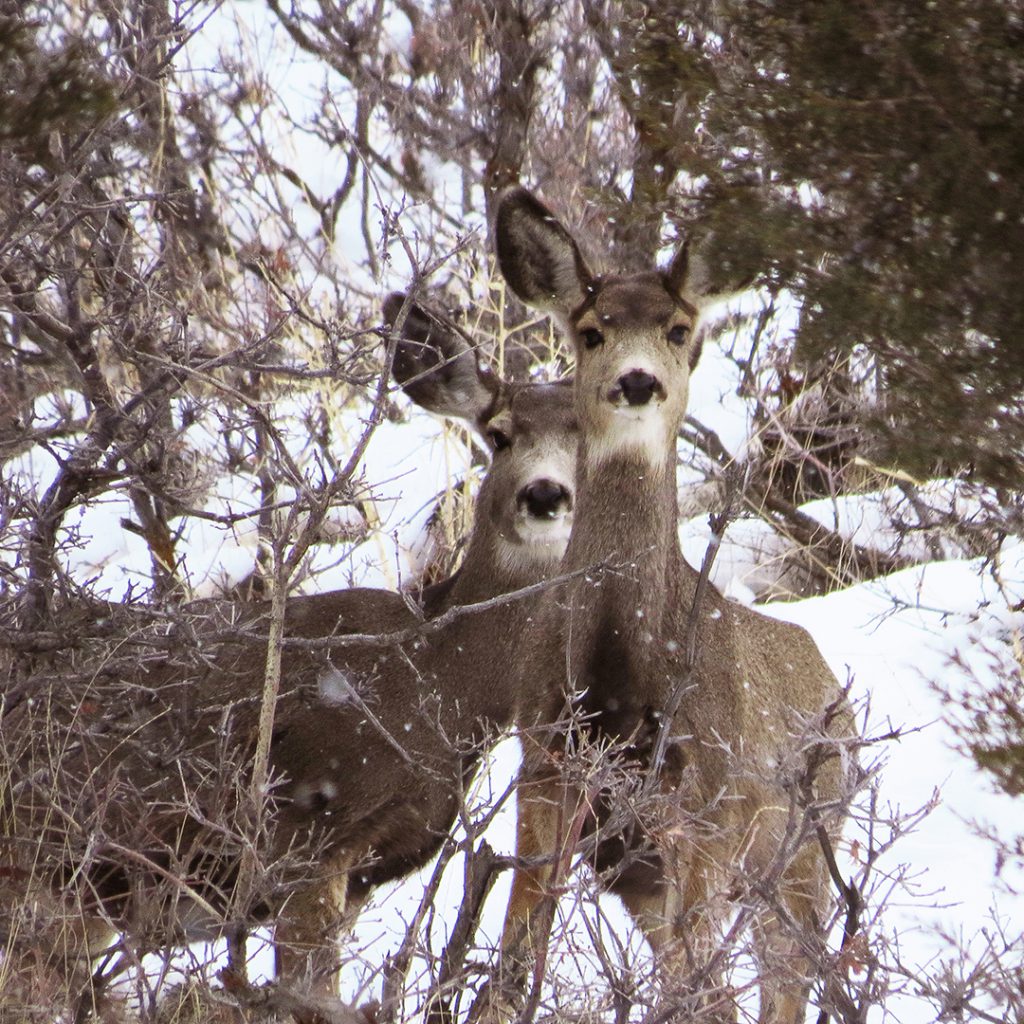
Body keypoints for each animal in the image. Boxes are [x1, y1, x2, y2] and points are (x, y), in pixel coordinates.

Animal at [481, 188, 854, 1024]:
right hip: (639, 869)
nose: (637, 380)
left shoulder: (706, 799)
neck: (620, 665)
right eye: (591, 330)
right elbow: (514, 960)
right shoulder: (546, 765)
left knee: (778, 979)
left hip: (803, 848)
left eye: (680, 330)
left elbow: (693, 985)